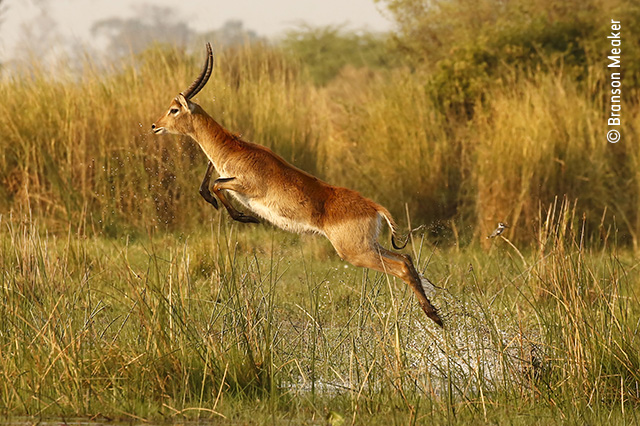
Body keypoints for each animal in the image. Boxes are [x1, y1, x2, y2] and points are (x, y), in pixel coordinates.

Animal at [151, 43, 443, 327]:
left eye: (174, 109)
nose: (155, 125)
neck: (233, 149)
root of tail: (374, 207)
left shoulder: (246, 186)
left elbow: (215, 185)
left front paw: (245, 217)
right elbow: (214, 183)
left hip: (355, 253)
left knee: (401, 268)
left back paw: (434, 317)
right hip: (370, 246)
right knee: (407, 259)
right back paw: (436, 313)